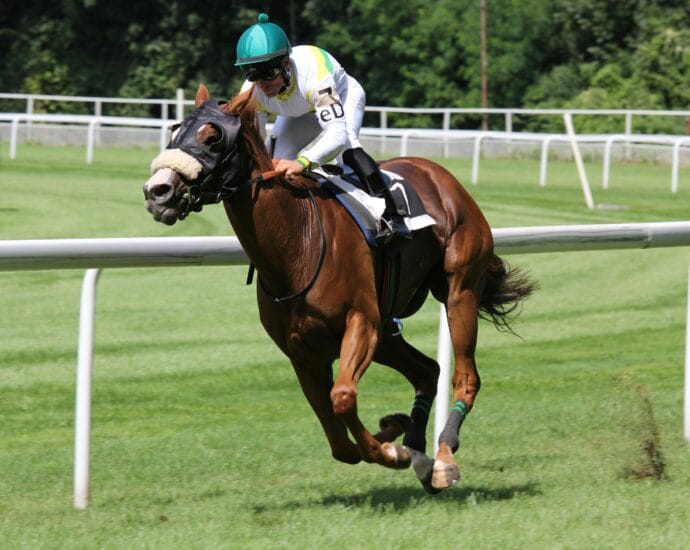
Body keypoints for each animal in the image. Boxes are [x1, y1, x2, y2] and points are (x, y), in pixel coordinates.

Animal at [143, 84, 535, 493]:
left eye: (213, 137)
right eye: (174, 132)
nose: (157, 191)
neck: (297, 242)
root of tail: (441, 175)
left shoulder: (361, 322)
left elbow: (343, 398)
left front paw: (392, 450)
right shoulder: (302, 352)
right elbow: (337, 439)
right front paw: (394, 434)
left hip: (458, 291)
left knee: (466, 376)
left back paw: (442, 458)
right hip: (388, 331)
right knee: (427, 370)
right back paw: (418, 450)